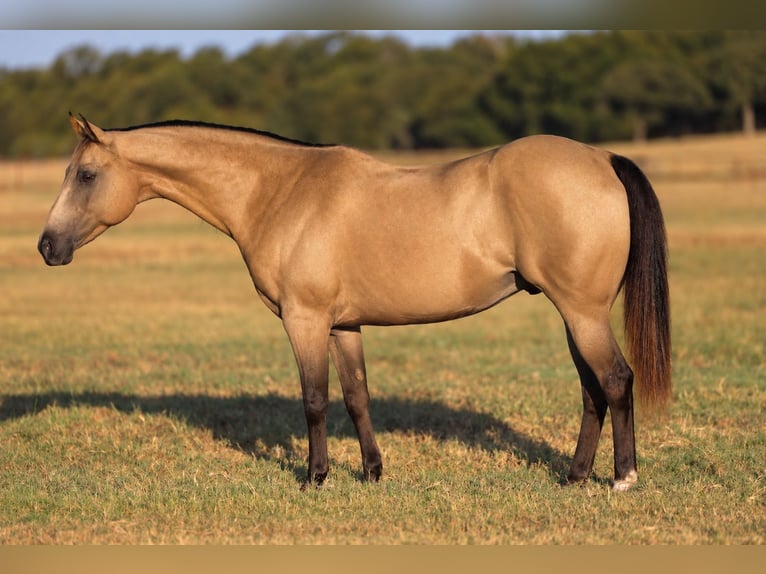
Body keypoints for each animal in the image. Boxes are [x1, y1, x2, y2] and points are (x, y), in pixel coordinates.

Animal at [38, 113, 671, 492]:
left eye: (86, 174)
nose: (47, 246)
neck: (280, 192)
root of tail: (602, 159)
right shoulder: (344, 326)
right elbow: (357, 398)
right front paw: (371, 472)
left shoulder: (306, 320)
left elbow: (315, 400)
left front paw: (314, 477)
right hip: (572, 314)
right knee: (592, 391)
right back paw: (574, 476)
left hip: (582, 313)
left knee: (615, 380)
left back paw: (623, 479)